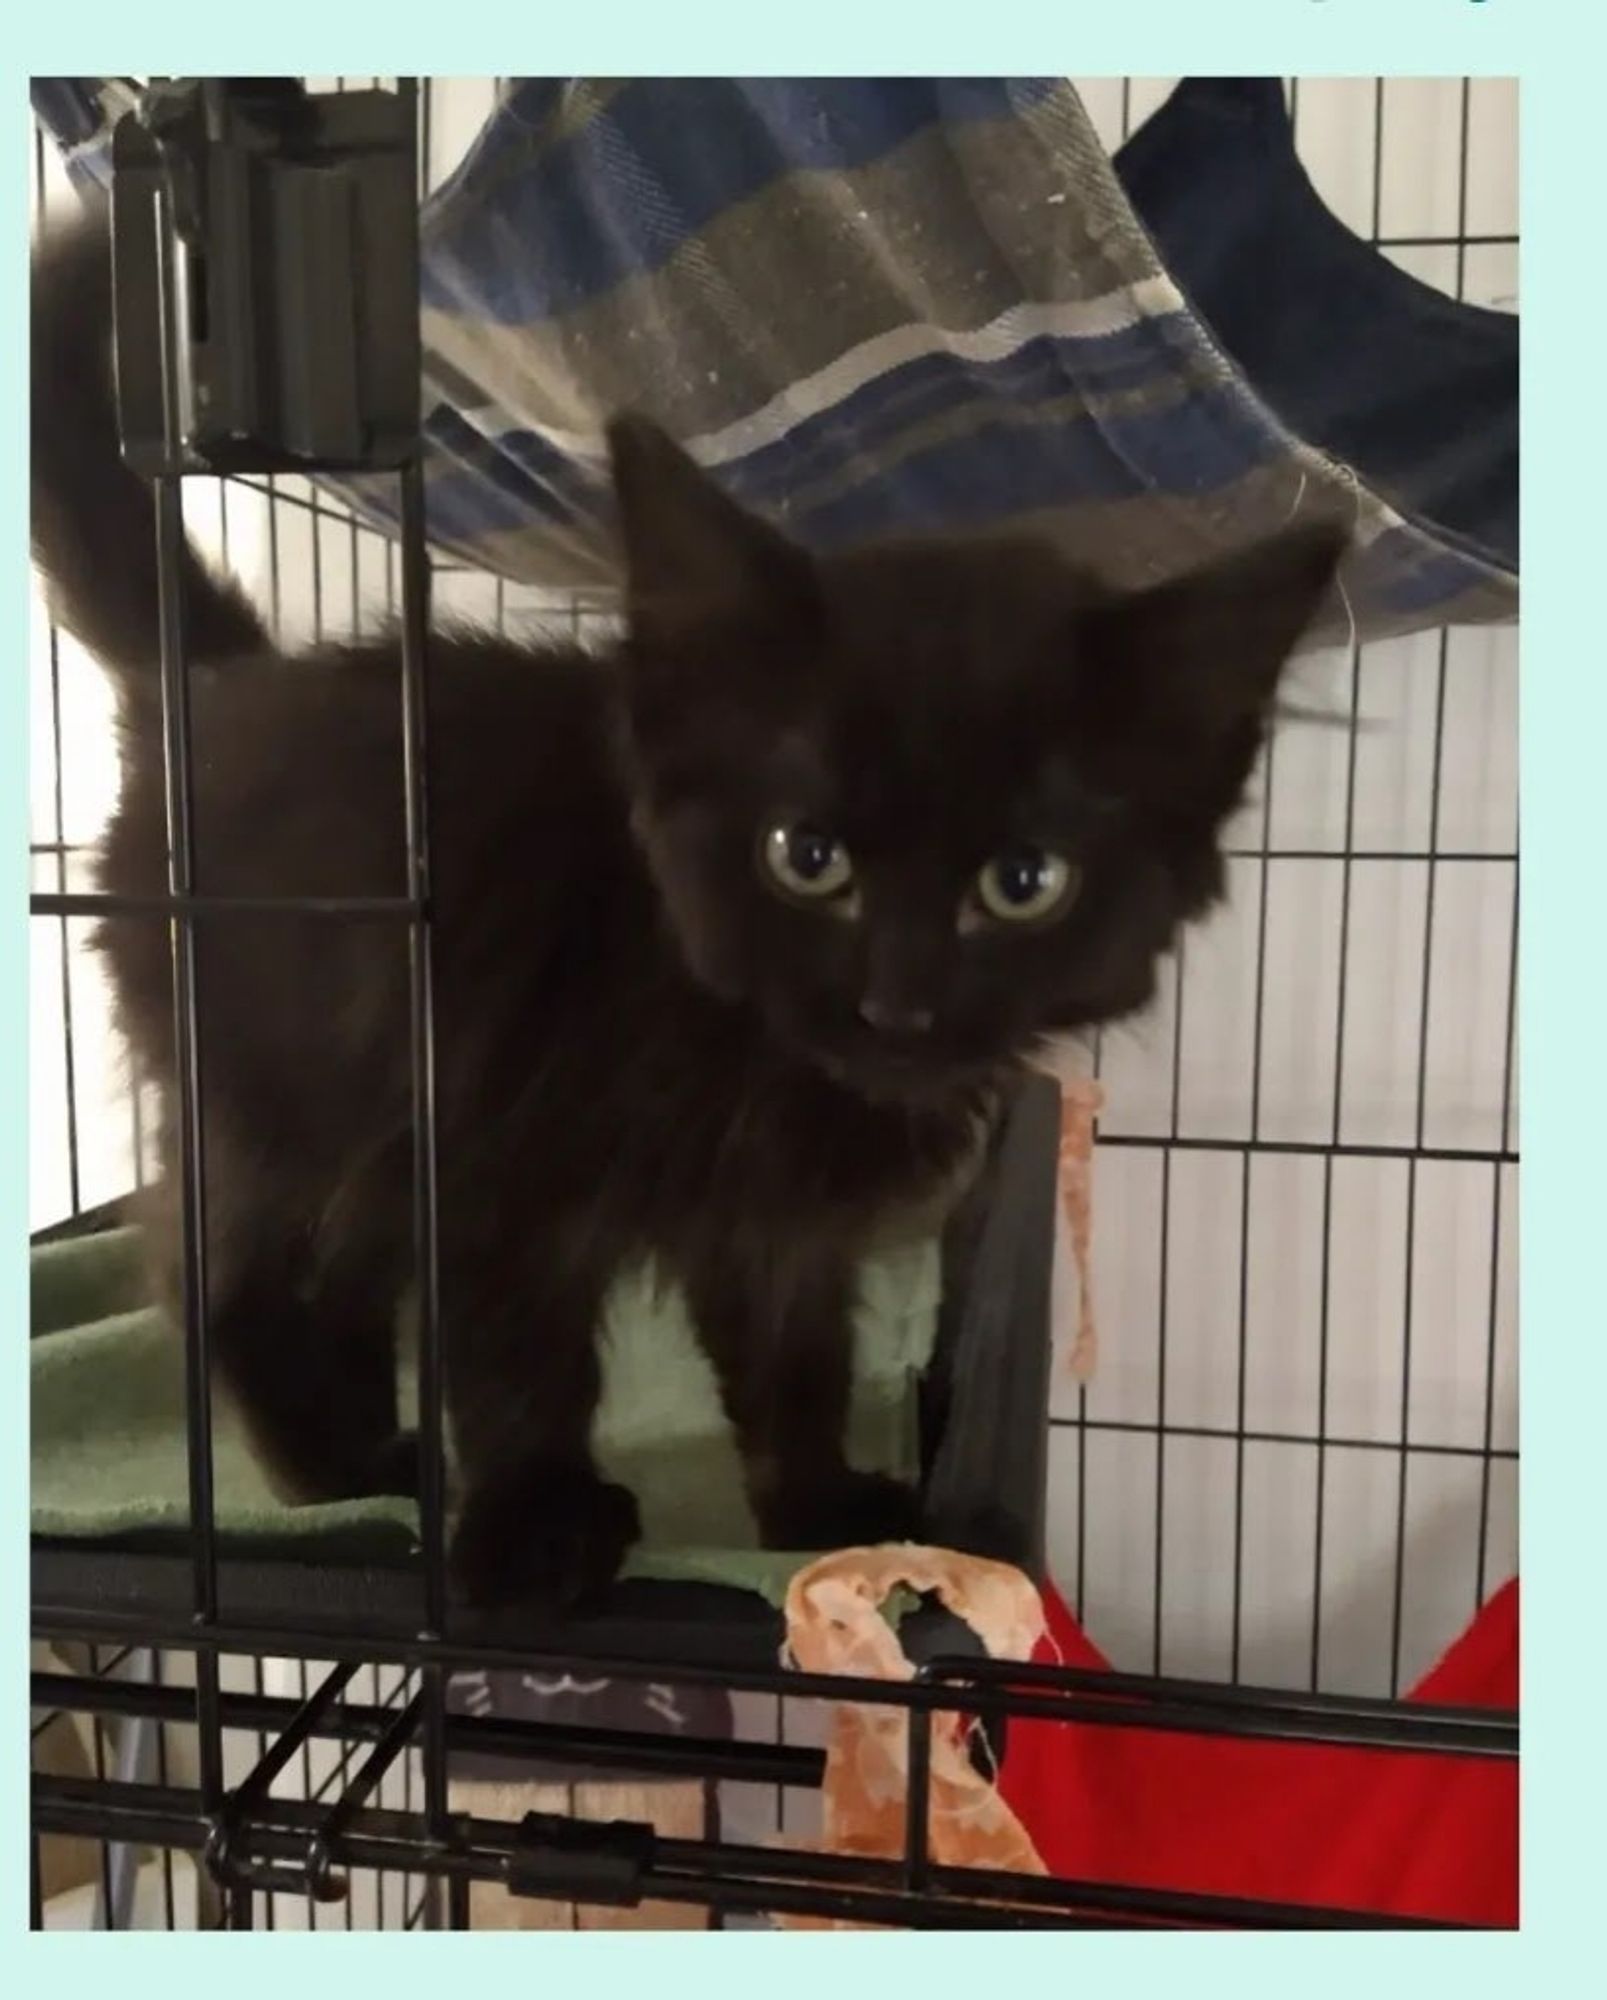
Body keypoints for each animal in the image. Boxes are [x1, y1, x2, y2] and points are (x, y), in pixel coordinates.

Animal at [31, 207, 1351, 1608]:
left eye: (1023, 882)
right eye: (804, 855)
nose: (897, 1002)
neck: (734, 1040)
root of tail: (219, 685)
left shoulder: (775, 1224)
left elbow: (792, 1357)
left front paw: (815, 1507)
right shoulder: (487, 1146)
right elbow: (516, 1349)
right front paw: (534, 1524)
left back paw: (371, 1456)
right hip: (277, 1089)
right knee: (217, 1270)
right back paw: (322, 1466)